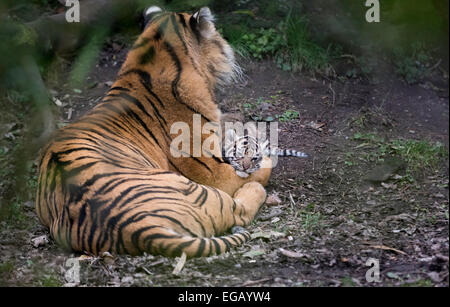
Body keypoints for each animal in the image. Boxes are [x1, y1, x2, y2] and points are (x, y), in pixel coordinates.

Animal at [35, 6, 272, 258]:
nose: (229, 48)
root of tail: (140, 228)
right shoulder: (213, 171)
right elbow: (258, 170)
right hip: (197, 189)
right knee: (239, 210)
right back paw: (254, 189)